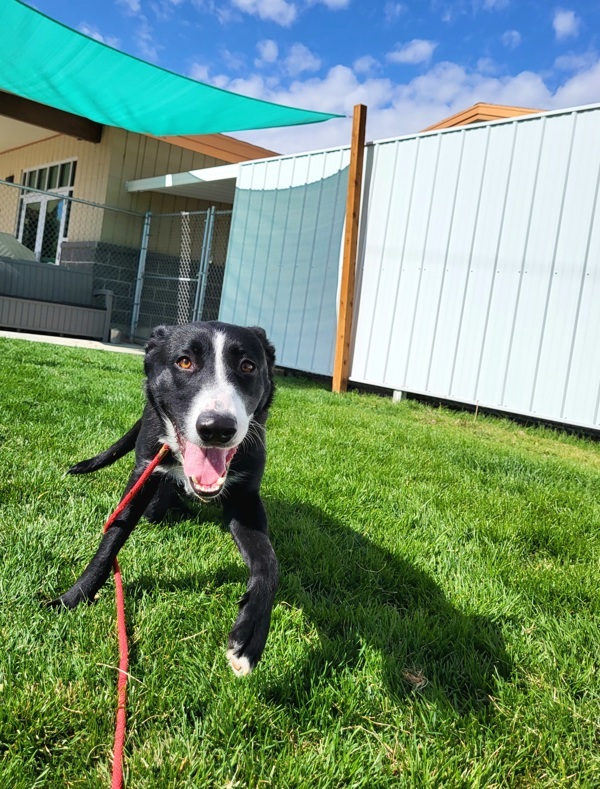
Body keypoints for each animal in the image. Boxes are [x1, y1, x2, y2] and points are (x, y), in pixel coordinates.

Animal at [49, 322, 278, 676]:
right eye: (184, 362)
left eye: (248, 366)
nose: (217, 429)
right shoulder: (142, 475)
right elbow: (111, 540)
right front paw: (73, 597)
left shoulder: (245, 498)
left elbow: (268, 562)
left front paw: (250, 635)